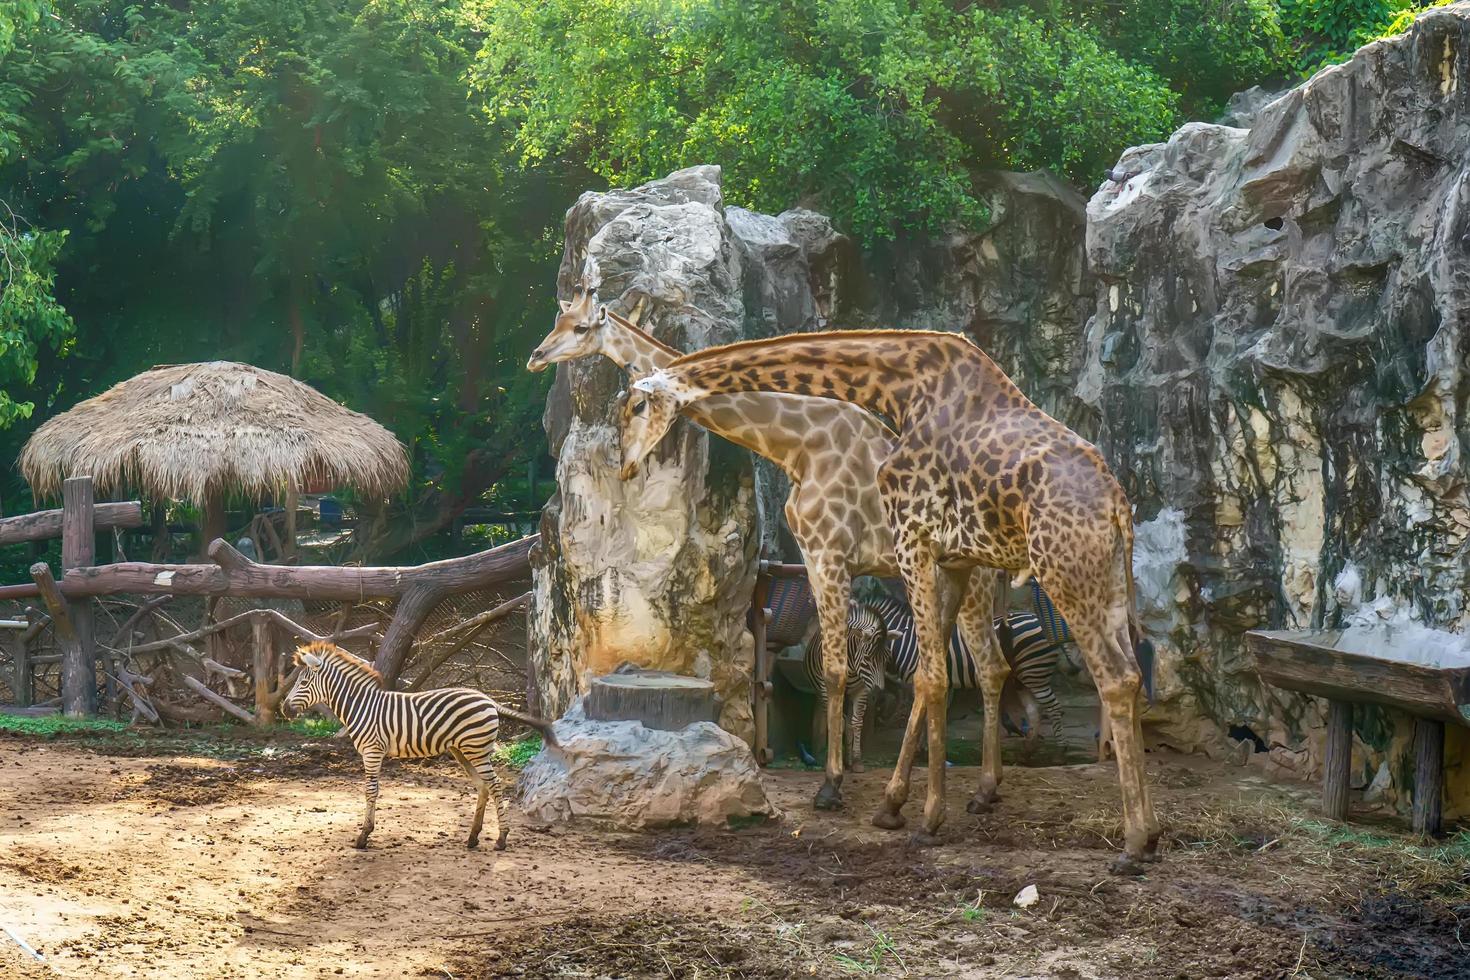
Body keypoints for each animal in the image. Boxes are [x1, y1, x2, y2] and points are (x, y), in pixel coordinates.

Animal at [282, 643, 555, 852]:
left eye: (303, 683)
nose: (284, 710)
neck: (361, 705)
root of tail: (489, 699)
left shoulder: (372, 751)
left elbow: (370, 791)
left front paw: (363, 836)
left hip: (476, 750)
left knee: (495, 785)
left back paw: (501, 838)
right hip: (463, 751)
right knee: (483, 786)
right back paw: (472, 837)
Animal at [799, 605, 887, 775]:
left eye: (886, 659)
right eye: (867, 658)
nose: (879, 694)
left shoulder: (861, 689)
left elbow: (856, 723)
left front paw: (857, 761)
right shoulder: (826, 688)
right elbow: (837, 722)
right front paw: (836, 762)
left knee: (849, 723)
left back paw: (848, 759)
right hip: (821, 691)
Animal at [870, 593, 1070, 740]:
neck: (907, 641)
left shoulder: (918, 681)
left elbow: (922, 716)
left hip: (1034, 669)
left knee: (1052, 707)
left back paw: (1058, 749)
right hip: (1026, 673)